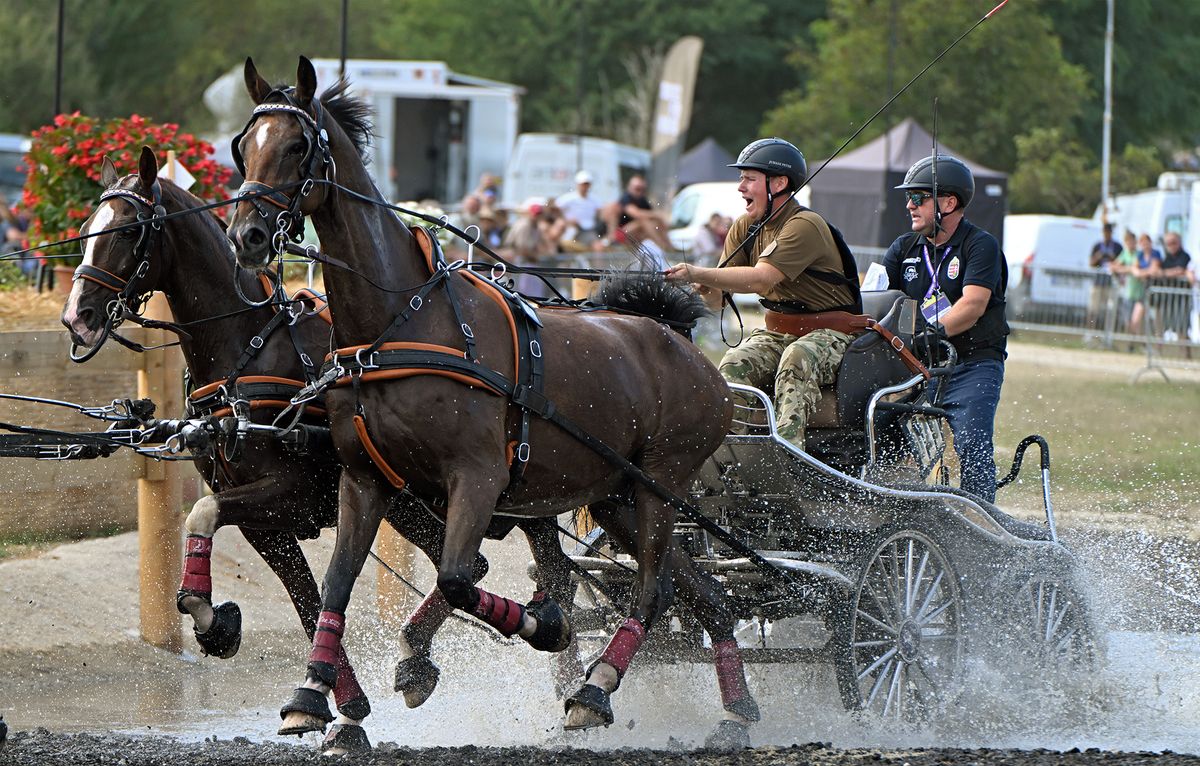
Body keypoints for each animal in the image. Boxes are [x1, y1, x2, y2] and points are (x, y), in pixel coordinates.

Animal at [57, 148, 580, 758]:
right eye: (86, 231)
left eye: (128, 230)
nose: (77, 317)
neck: (251, 347)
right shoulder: (267, 522)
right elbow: (307, 601)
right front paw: (333, 707)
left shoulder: (290, 493)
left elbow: (204, 514)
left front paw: (215, 620)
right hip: (416, 504)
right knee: (488, 568)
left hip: (499, 493)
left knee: (535, 569)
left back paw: (560, 672)